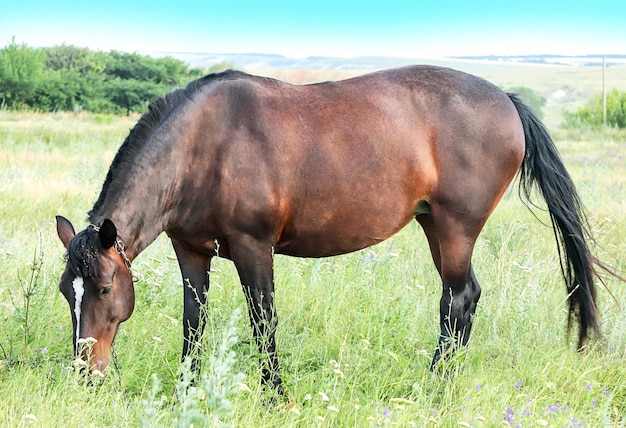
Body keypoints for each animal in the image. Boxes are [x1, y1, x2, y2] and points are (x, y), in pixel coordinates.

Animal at [56, 65, 608, 392]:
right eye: (67, 292)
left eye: (103, 288)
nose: (85, 372)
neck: (204, 146)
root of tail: (507, 99)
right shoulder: (190, 250)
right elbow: (195, 323)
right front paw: (184, 392)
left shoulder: (254, 249)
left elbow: (263, 321)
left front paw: (273, 396)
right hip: (433, 223)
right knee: (460, 300)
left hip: (456, 229)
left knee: (459, 299)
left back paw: (434, 386)